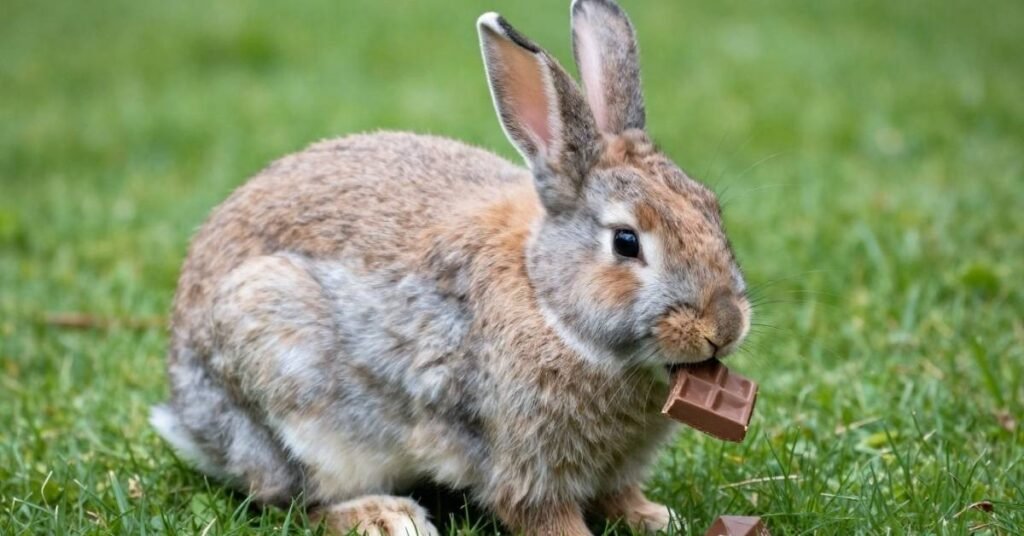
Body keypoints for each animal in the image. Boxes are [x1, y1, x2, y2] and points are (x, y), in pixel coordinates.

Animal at [150, 0, 752, 534]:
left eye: (712, 210)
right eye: (626, 243)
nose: (724, 327)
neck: (545, 299)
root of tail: (190, 416)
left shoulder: (612, 469)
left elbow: (620, 496)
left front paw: (658, 518)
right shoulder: (523, 463)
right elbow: (542, 515)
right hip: (283, 379)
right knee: (292, 499)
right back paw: (385, 518)